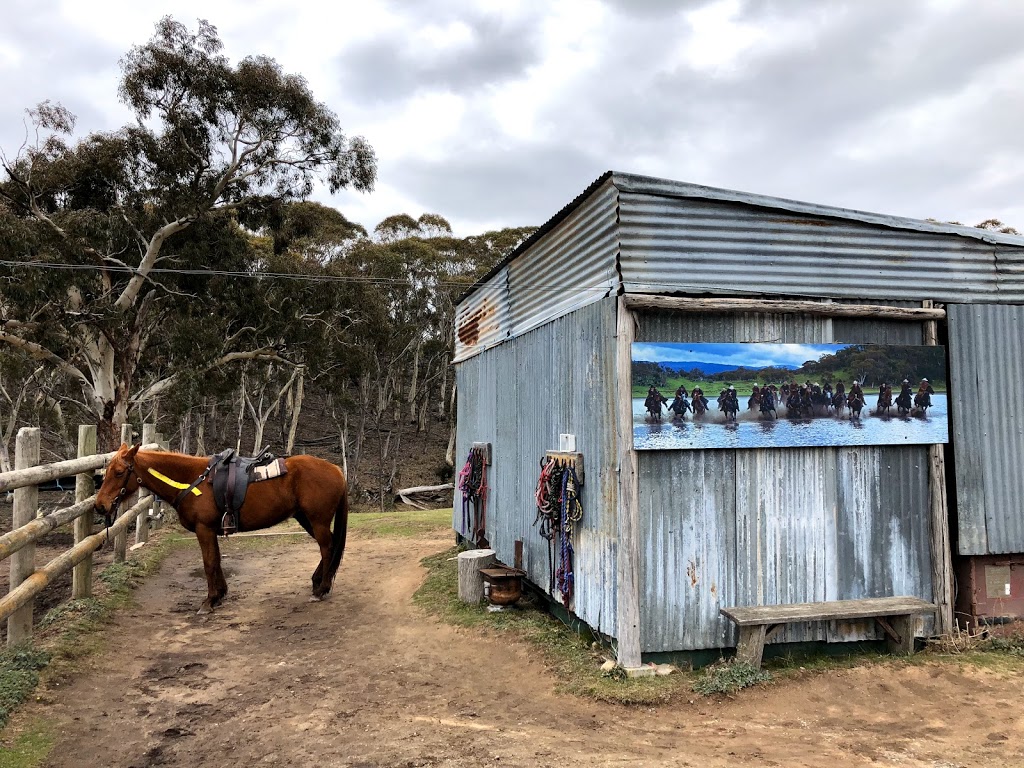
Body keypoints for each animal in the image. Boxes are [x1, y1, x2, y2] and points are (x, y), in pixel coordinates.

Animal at [96, 444, 352, 614]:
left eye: (119, 472)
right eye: (105, 472)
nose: (100, 505)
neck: (191, 480)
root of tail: (336, 470)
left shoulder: (204, 529)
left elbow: (209, 563)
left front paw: (209, 601)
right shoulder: (211, 530)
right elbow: (217, 560)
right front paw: (220, 594)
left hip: (317, 519)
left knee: (327, 547)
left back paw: (322, 588)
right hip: (305, 518)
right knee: (330, 546)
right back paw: (318, 581)